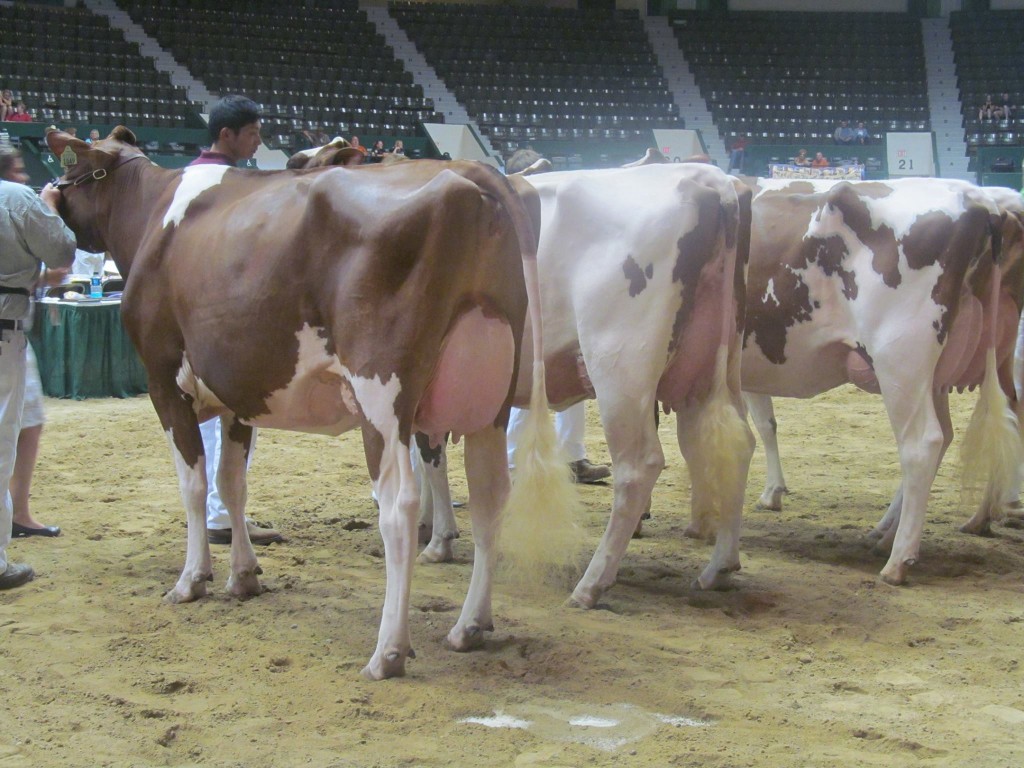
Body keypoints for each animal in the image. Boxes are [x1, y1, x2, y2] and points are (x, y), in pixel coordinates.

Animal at [45, 126, 574, 680]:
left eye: (70, 170)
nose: (50, 194)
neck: (152, 213)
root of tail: (474, 174)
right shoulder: (240, 393)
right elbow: (232, 483)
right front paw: (243, 575)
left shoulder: (163, 381)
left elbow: (193, 485)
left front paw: (192, 580)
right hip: (491, 398)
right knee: (491, 497)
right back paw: (470, 626)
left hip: (382, 398)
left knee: (400, 508)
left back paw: (388, 651)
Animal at [420, 161, 755, 606]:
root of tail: (710, 179)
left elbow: (430, 458)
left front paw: (438, 538)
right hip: (715, 363)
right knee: (737, 444)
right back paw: (719, 566)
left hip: (619, 369)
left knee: (638, 466)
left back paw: (591, 584)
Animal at [738, 177, 1023, 585]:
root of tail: (982, 202)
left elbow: (759, 425)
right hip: (969, 364)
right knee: (984, 427)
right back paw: (963, 522)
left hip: (900, 359)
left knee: (922, 443)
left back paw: (898, 560)